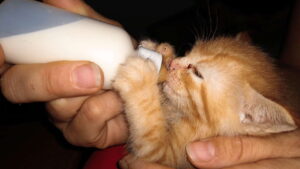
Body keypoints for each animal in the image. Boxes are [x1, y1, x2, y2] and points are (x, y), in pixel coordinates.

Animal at [112, 33, 298, 168]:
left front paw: (140, 79)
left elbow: (150, 136)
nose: (173, 64)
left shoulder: (166, 155)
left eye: (198, 73)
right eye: (189, 52)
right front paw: (162, 52)